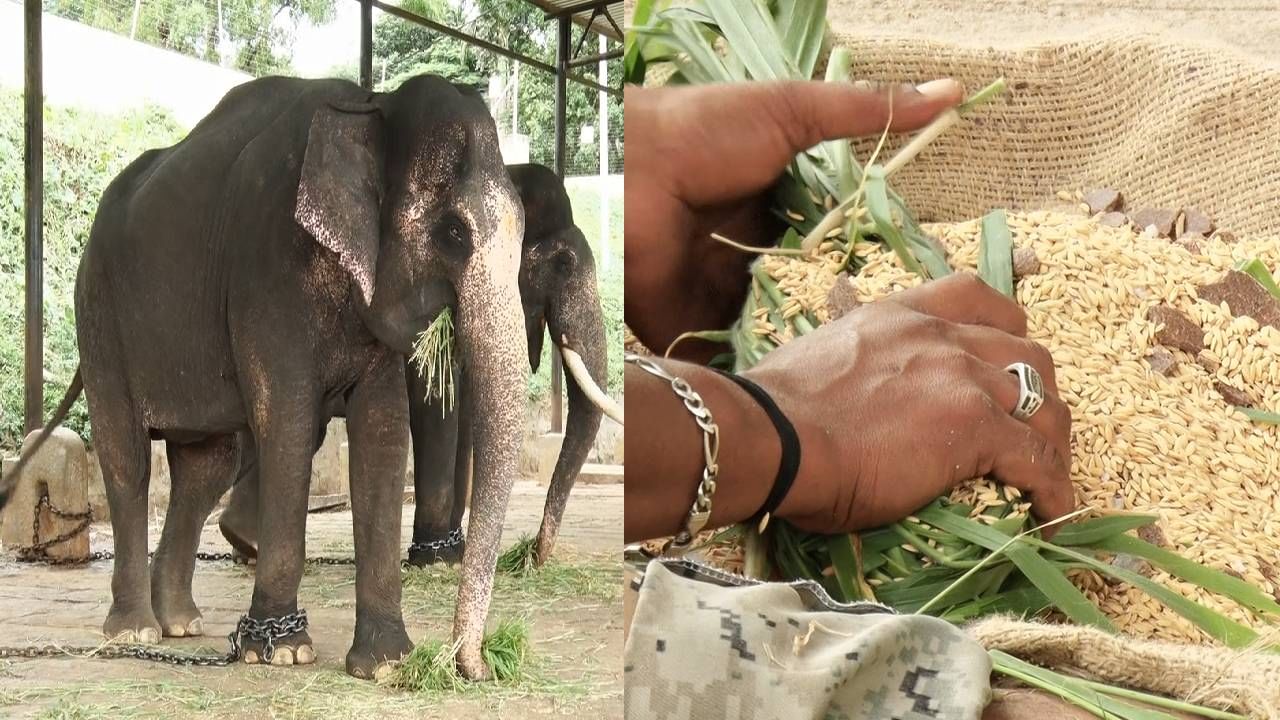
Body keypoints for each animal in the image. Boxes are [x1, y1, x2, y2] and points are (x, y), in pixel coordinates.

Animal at [215, 161, 624, 571]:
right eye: (563, 264)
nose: (533, 553)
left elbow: (464, 407)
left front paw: (453, 549)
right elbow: (436, 393)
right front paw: (436, 556)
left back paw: (243, 544)